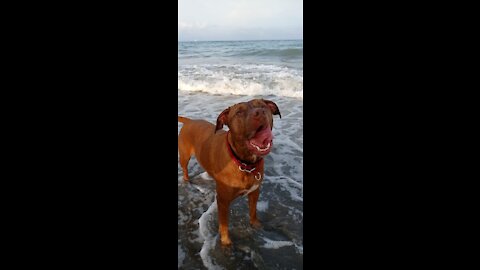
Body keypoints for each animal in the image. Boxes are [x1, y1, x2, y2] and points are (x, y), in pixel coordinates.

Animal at [178, 98, 280, 245]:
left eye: (262, 106)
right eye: (239, 112)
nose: (260, 112)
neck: (245, 163)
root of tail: (190, 121)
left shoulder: (255, 192)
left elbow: (253, 211)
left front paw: (255, 224)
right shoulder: (223, 201)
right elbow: (224, 224)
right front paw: (226, 242)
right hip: (184, 156)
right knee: (185, 168)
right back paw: (186, 180)